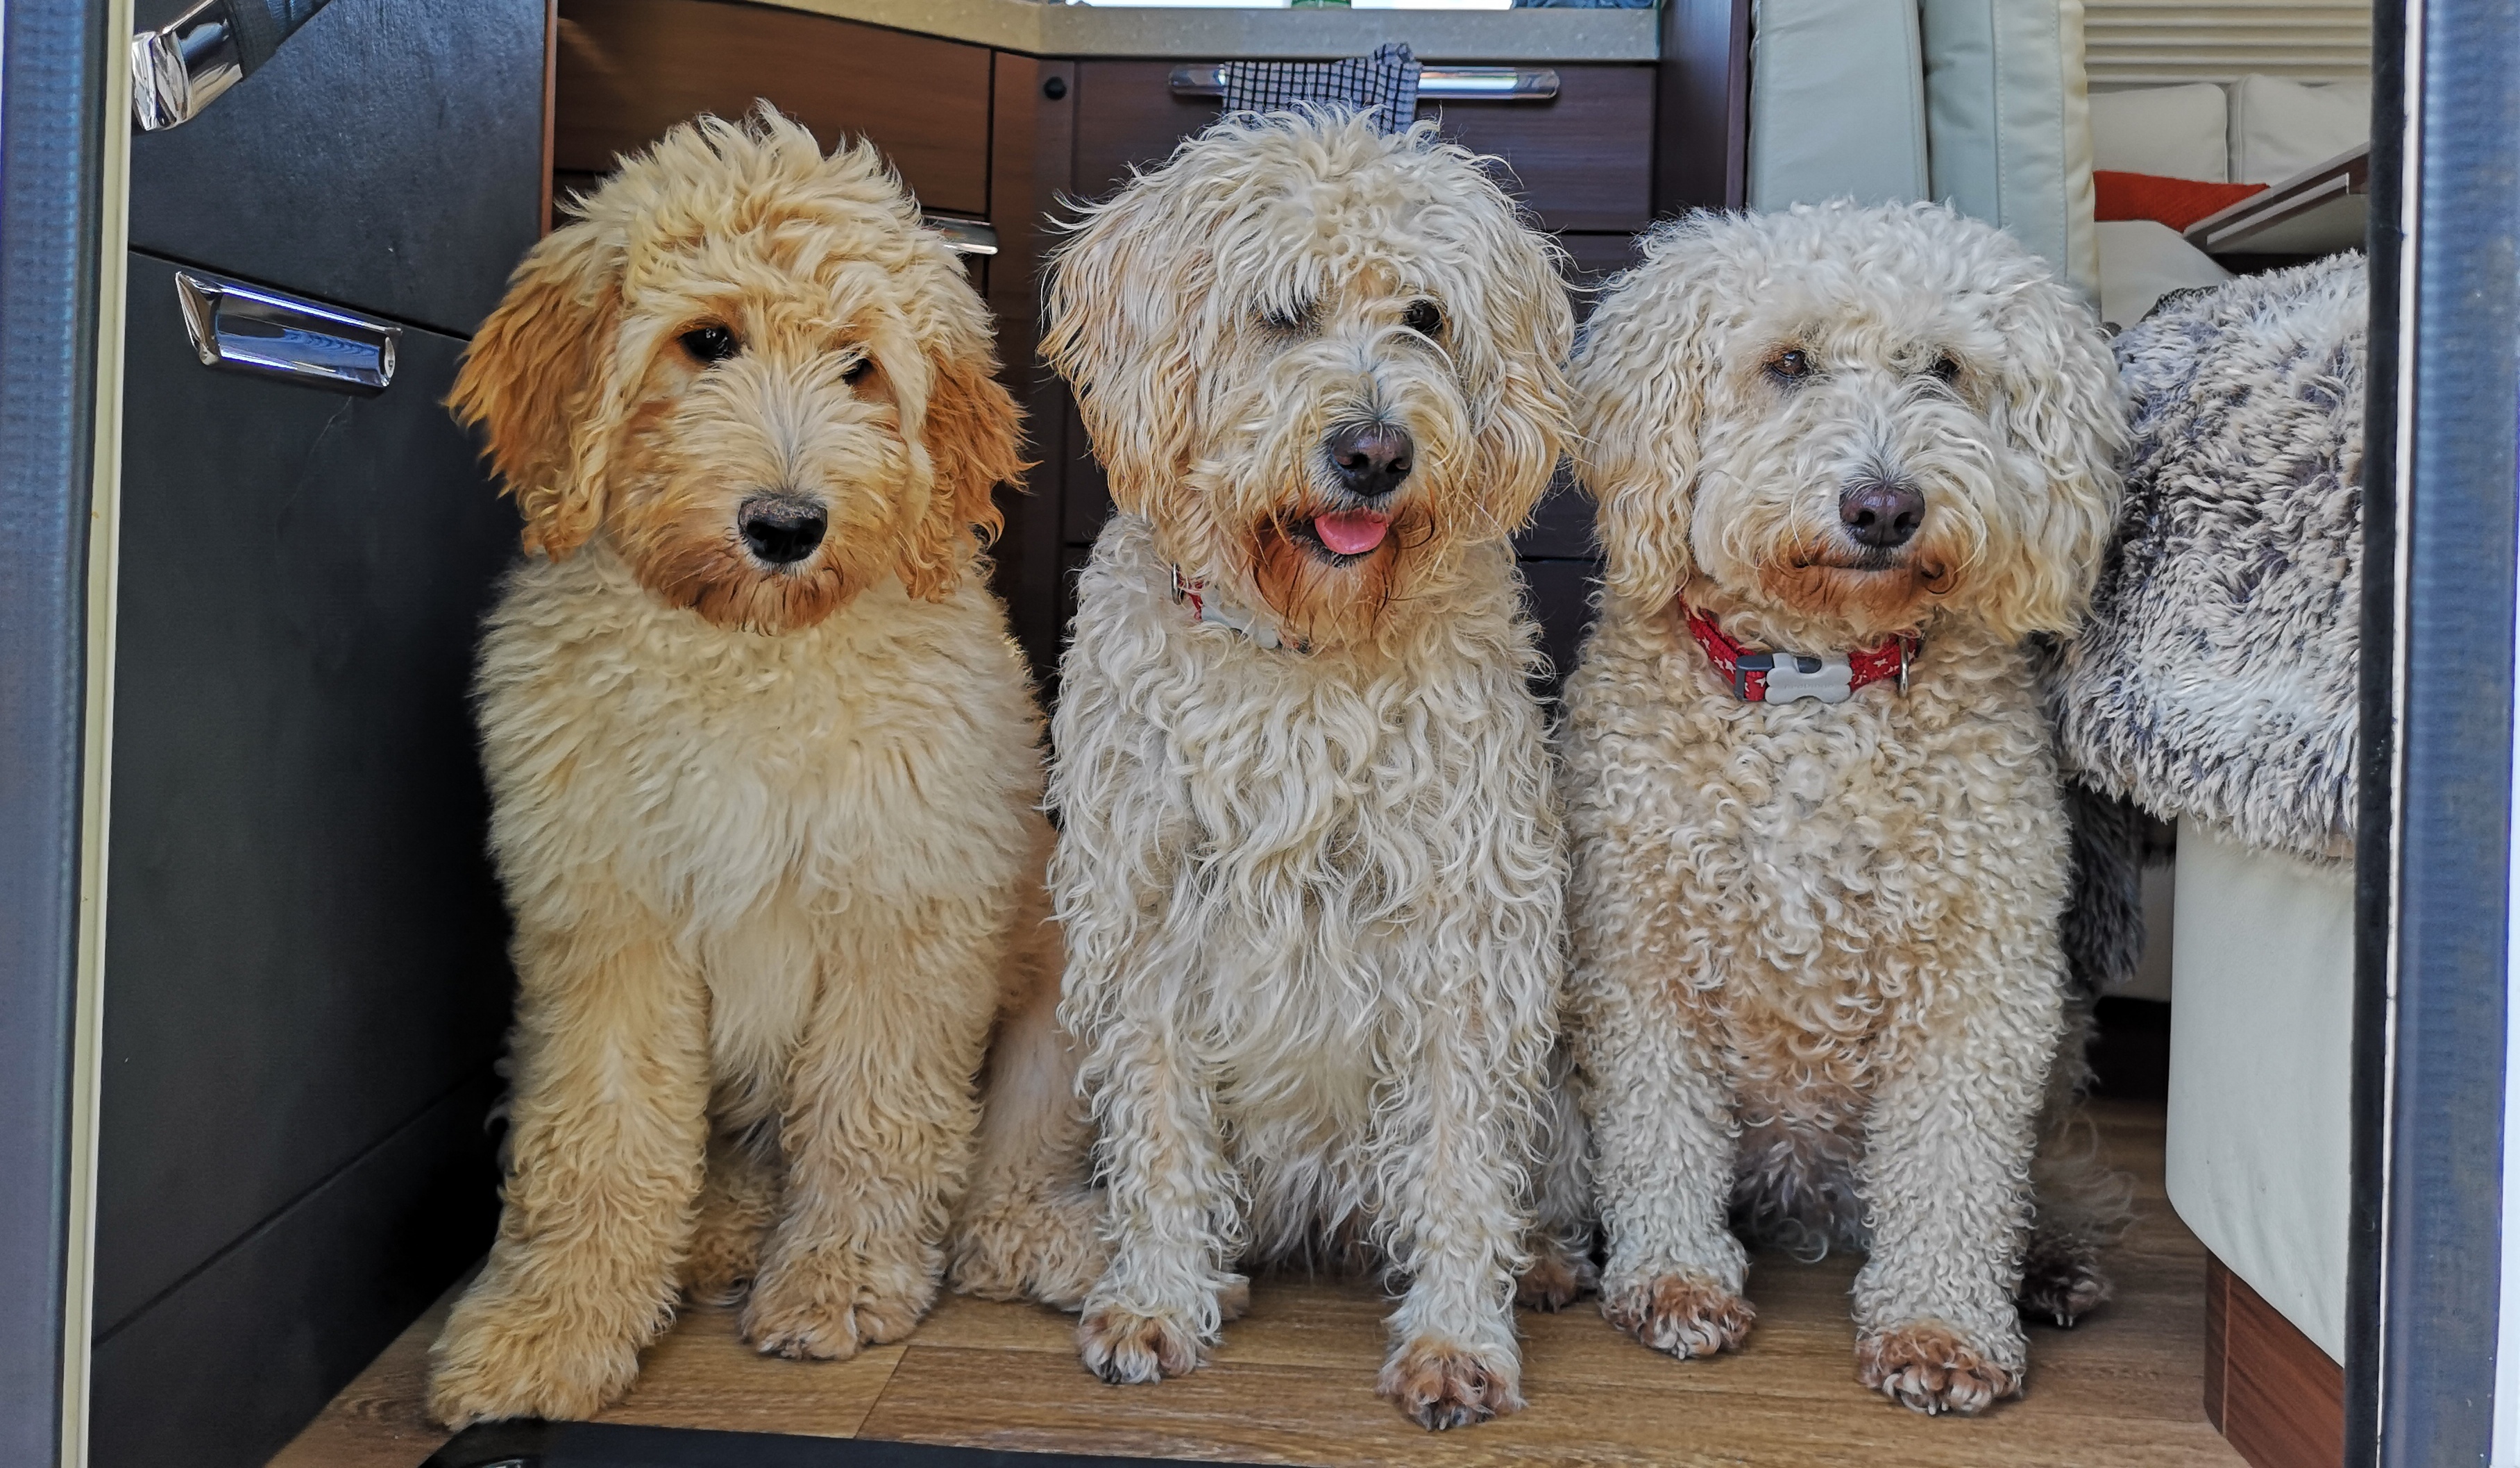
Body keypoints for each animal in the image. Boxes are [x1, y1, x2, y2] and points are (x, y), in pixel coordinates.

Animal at [428, 115, 1099, 1442]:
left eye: (860, 368)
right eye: (706, 340)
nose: (786, 526)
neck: (749, 656)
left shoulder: (907, 913)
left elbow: (873, 1112)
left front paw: (839, 1281)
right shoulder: (606, 920)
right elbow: (596, 1135)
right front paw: (545, 1330)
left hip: (1056, 975)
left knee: (998, 1184)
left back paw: (1047, 1240)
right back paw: (719, 1234)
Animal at [1043, 115, 1592, 1442]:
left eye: (1425, 316)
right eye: (1281, 314)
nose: (1374, 451)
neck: (1302, 648)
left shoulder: (1465, 926)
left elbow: (1457, 1157)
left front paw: (1457, 1337)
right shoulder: (1147, 918)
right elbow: (1162, 1132)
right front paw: (1159, 1297)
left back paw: (1546, 1259)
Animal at [1572, 201, 2126, 1422]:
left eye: (1944, 369)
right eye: (1787, 364)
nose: (1882, 504)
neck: (1814, 687)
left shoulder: (1982, 981)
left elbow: (1955, 1167)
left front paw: (1940, 1326)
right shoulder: (1637, 953)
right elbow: (1657, 1129)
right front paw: (1672, 1278)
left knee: (2049, 1172)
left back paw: (2051, 1261)